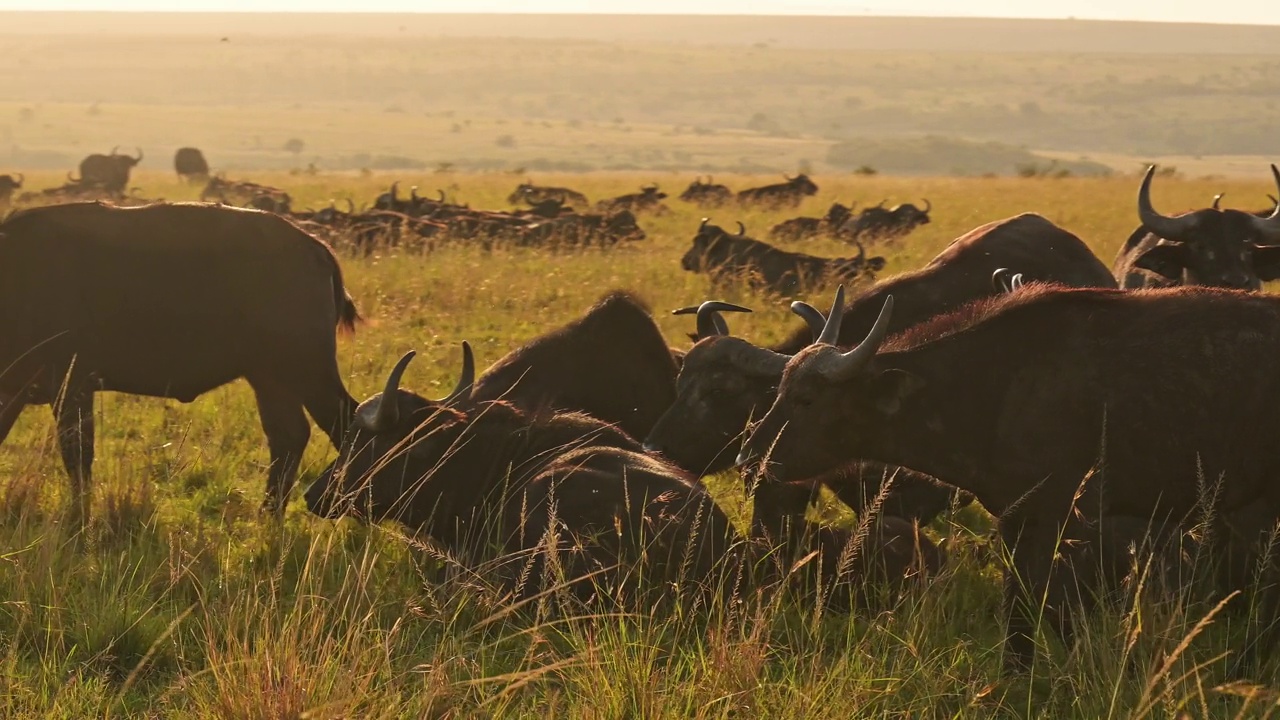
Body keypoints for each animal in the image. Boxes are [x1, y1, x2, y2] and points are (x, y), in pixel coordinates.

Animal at [0, 202, 360, 515]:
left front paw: (79, 519)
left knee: (345, 424)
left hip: (307, 373)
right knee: (289, 436)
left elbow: (78, 457)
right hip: (270, 379)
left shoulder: (72, 388)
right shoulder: (18, 393)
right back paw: (269, 515)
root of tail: (314, 246)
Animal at [742, 281, 1280, 671]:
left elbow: (1033, 606)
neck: (993, 386)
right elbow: (1031, 606)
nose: (750, 456)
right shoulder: (1018, 518)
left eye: (807, 399)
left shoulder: (1051, 515)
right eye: (780, 387)